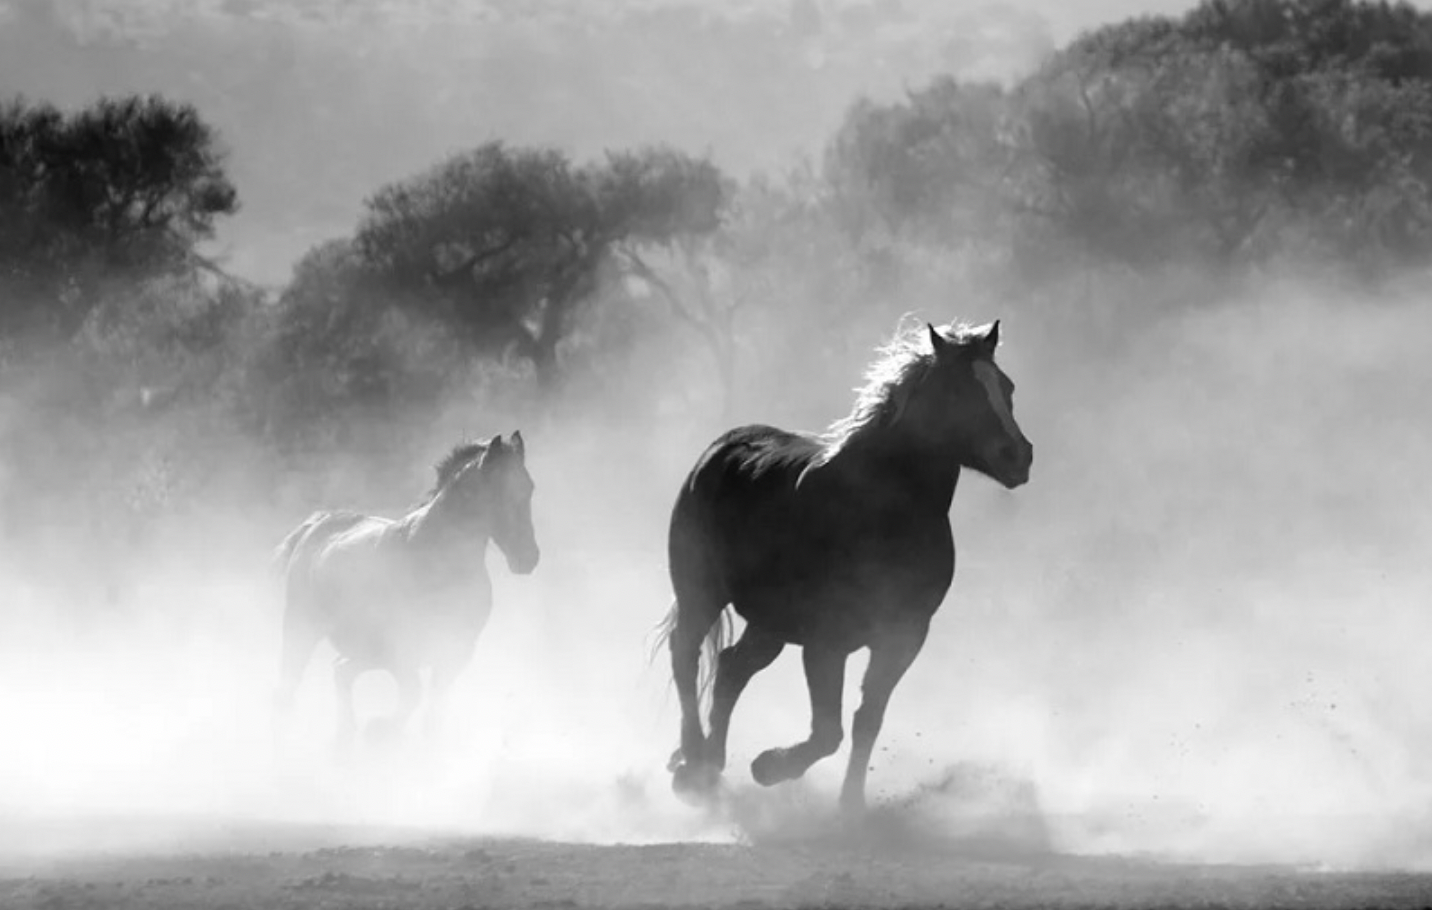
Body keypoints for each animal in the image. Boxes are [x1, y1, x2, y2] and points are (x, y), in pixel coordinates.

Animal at [272, 432, 539, 751]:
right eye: (497, 491)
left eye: (529, 487)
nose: (528, 558)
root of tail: (317, 524)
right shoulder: (400, 652)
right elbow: (414, 694)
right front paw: (380, 730)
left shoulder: (455, 652)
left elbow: (433, 714)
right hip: (302, 628)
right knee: (290, 685)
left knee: (340, 672)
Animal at [656, 319, 1032, 812]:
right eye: (958, 390)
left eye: (1006, 387)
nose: (1018, 456)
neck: (881, 511)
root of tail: (719, 450)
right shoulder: (826, 641)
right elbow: (827, 732)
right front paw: (769, 767)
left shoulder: (903, 636)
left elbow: (866, 720)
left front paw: (850, 805)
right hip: (701, 593)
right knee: (686, 655)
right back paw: (693, 766)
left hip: (770, 624)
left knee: (731, 668)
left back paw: (711, 765)